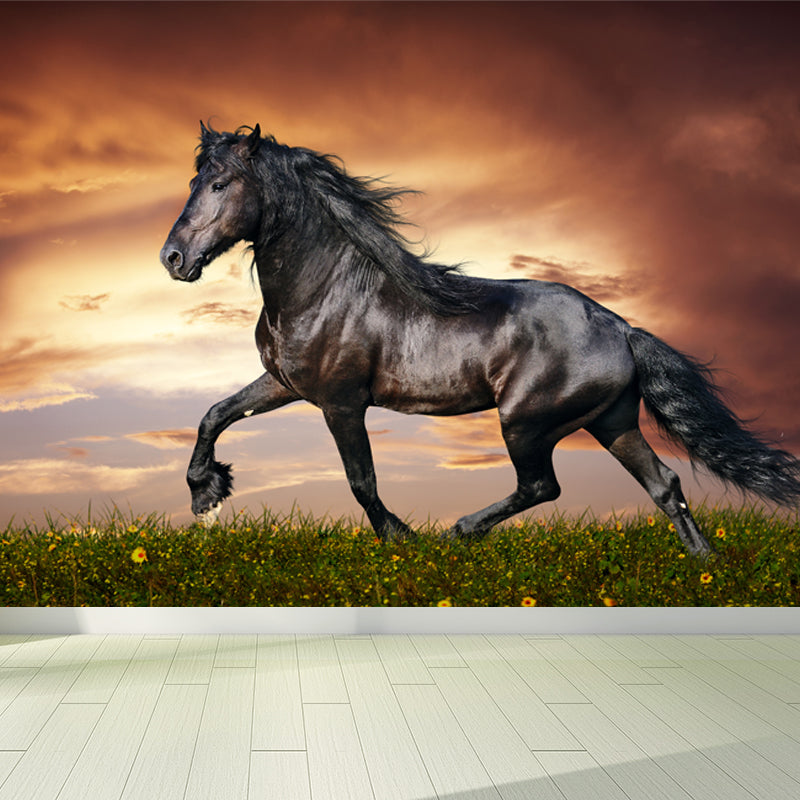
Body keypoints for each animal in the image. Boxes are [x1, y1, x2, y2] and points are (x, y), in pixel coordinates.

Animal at [160, 123, 800, 556]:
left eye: (220, 183)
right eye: (194, 180)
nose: (173, 259)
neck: (325, 288)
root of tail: (621, 327)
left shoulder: (341, 402)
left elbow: (361, 481)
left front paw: (403, 541)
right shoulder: (285, 383)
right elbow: (215, 414)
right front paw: (206, 493)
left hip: (526, 422)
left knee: (542, 485)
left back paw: (458, 532)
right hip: (611, 421)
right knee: (665, 485)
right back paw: (704, 566)